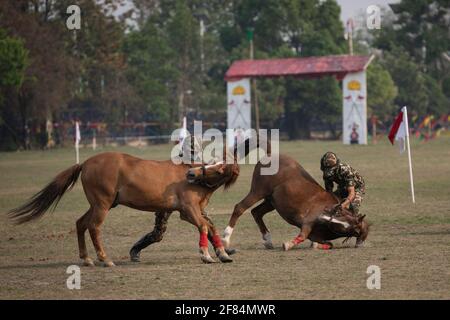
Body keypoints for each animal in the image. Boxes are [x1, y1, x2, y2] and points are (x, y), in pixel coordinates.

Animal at [7, 151, 239, 266]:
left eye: (220, 168)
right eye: (215, 163)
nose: (190, 173)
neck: (196, 184)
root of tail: (85, 163)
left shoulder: (194, 212)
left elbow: (211, 227)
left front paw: (223, 253)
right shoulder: (188, 211)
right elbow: (204, 227)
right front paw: (206, 255)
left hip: (99, 204)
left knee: (81, 223)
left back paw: (87, 259)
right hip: (102, 205)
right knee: (94, 227)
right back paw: (104, 259)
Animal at [221, 154, 370, 251]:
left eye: (346, 227)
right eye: (338, 215)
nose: (322, 217)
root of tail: (270, 154)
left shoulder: (316, 233)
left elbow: (326, 243)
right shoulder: (308, 222)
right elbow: (303, 235)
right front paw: (288, 244)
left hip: (271, 201)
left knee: (256, 212)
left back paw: (268, 240)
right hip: (258, 190)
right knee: (240, 207)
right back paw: (226, 238)